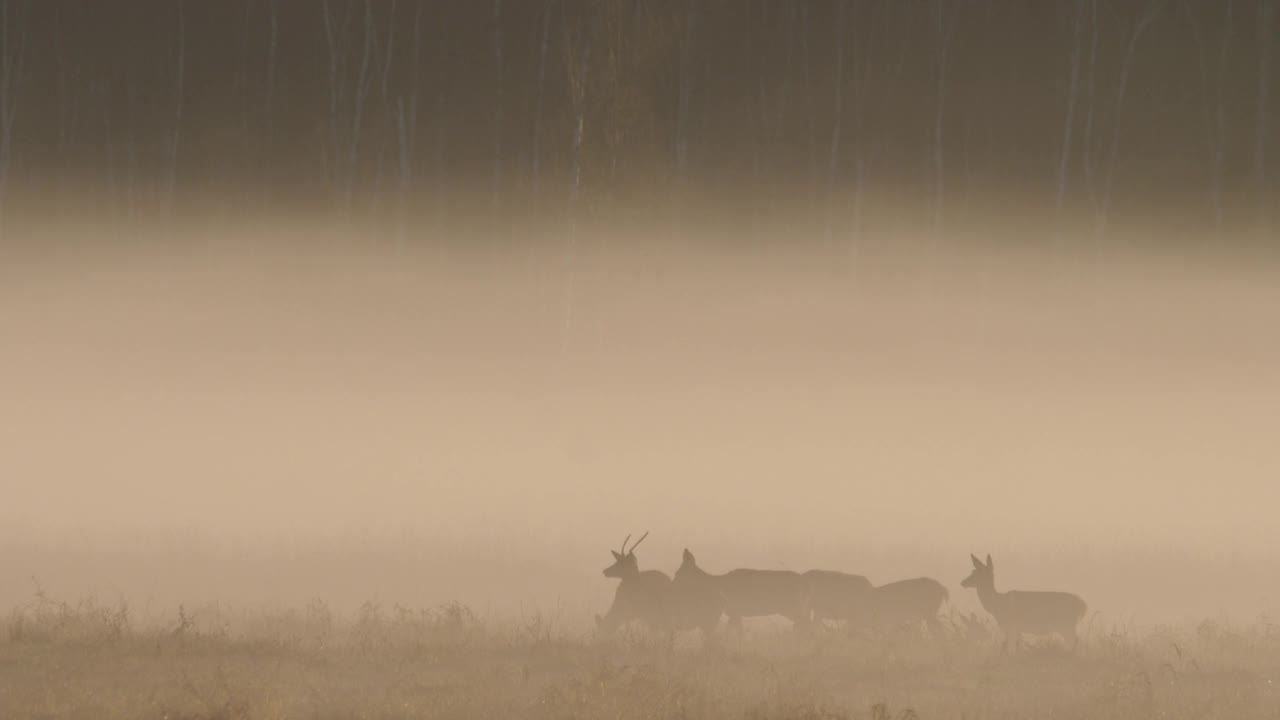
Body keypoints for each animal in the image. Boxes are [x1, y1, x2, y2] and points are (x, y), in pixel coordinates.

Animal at [670, 548, 808, 627]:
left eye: (678, 573)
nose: (672, 585)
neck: (716, 583)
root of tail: (802, 580)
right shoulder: (734, 612)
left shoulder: (735, 610)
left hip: (792, 606)